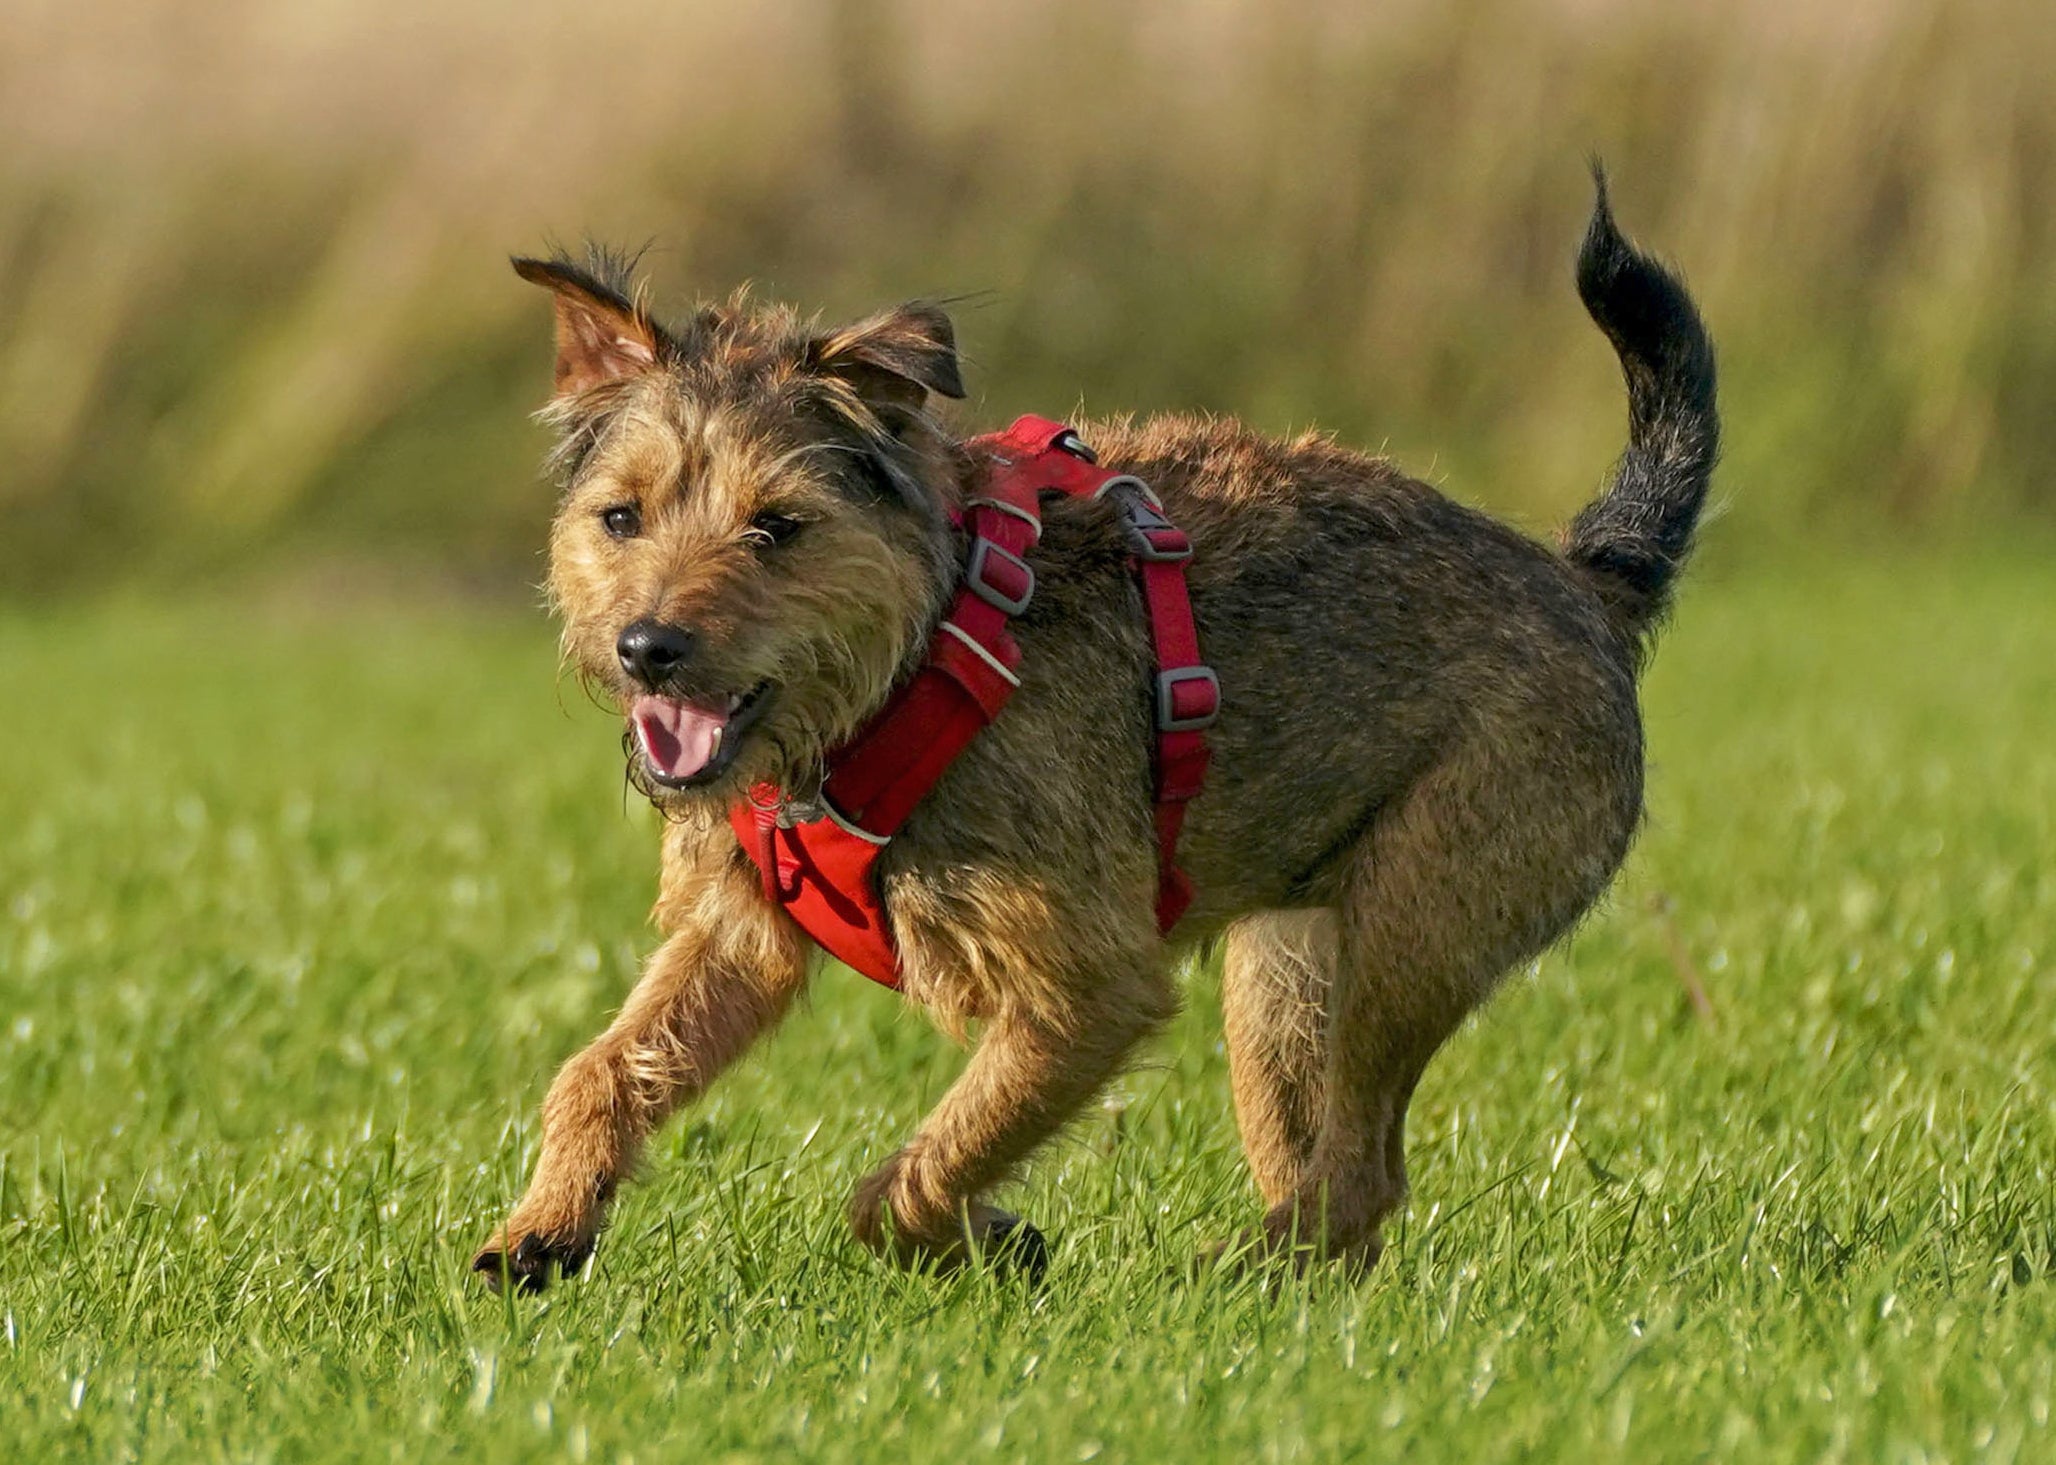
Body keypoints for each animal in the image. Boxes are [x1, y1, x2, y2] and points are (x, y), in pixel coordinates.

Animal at [470, 174, 1718, 1290]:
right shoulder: (737, 935)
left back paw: (1226, 1281)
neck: (909, 662)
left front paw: (985, 1238)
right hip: (1282, 982)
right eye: (619, 517)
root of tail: (1583, 578)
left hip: (1412, 926)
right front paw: (542, 1228)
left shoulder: (1086, 993)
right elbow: (598, 1067)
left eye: (778, 527)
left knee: (1362, 1174)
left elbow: (911, 1176)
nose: (647, 647)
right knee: (1334, 1180)